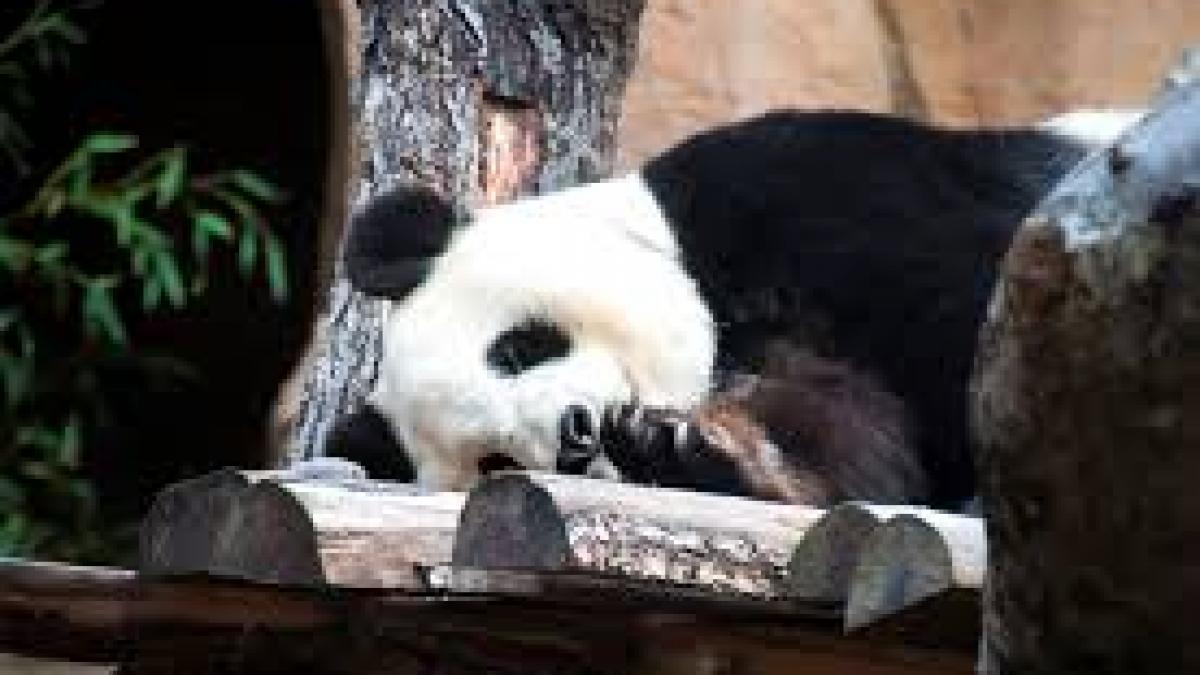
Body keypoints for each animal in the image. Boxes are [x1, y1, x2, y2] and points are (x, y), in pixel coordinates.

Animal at [326, 108, 1141, 510]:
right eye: (493, 461)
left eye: (518, 348)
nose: (575, 436)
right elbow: (852, 444)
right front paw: (682, 449)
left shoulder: (807, 190)